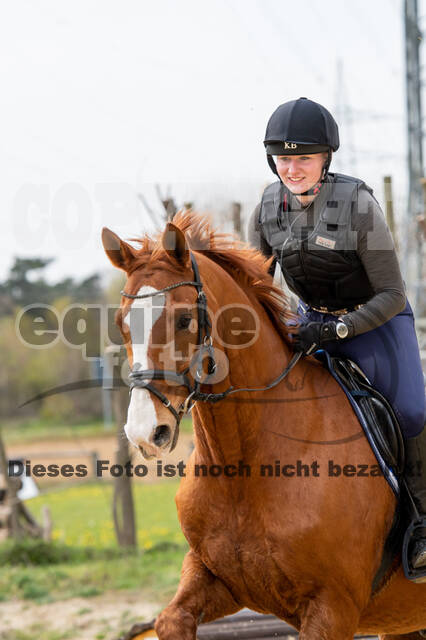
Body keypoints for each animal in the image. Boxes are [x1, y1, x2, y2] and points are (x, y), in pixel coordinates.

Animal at [102, 214, 426, 640]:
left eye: (184, 319)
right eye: (121, 323)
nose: (145, 433)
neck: (242, 467)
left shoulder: (333, 607)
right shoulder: (218, 578)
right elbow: (170, 619)